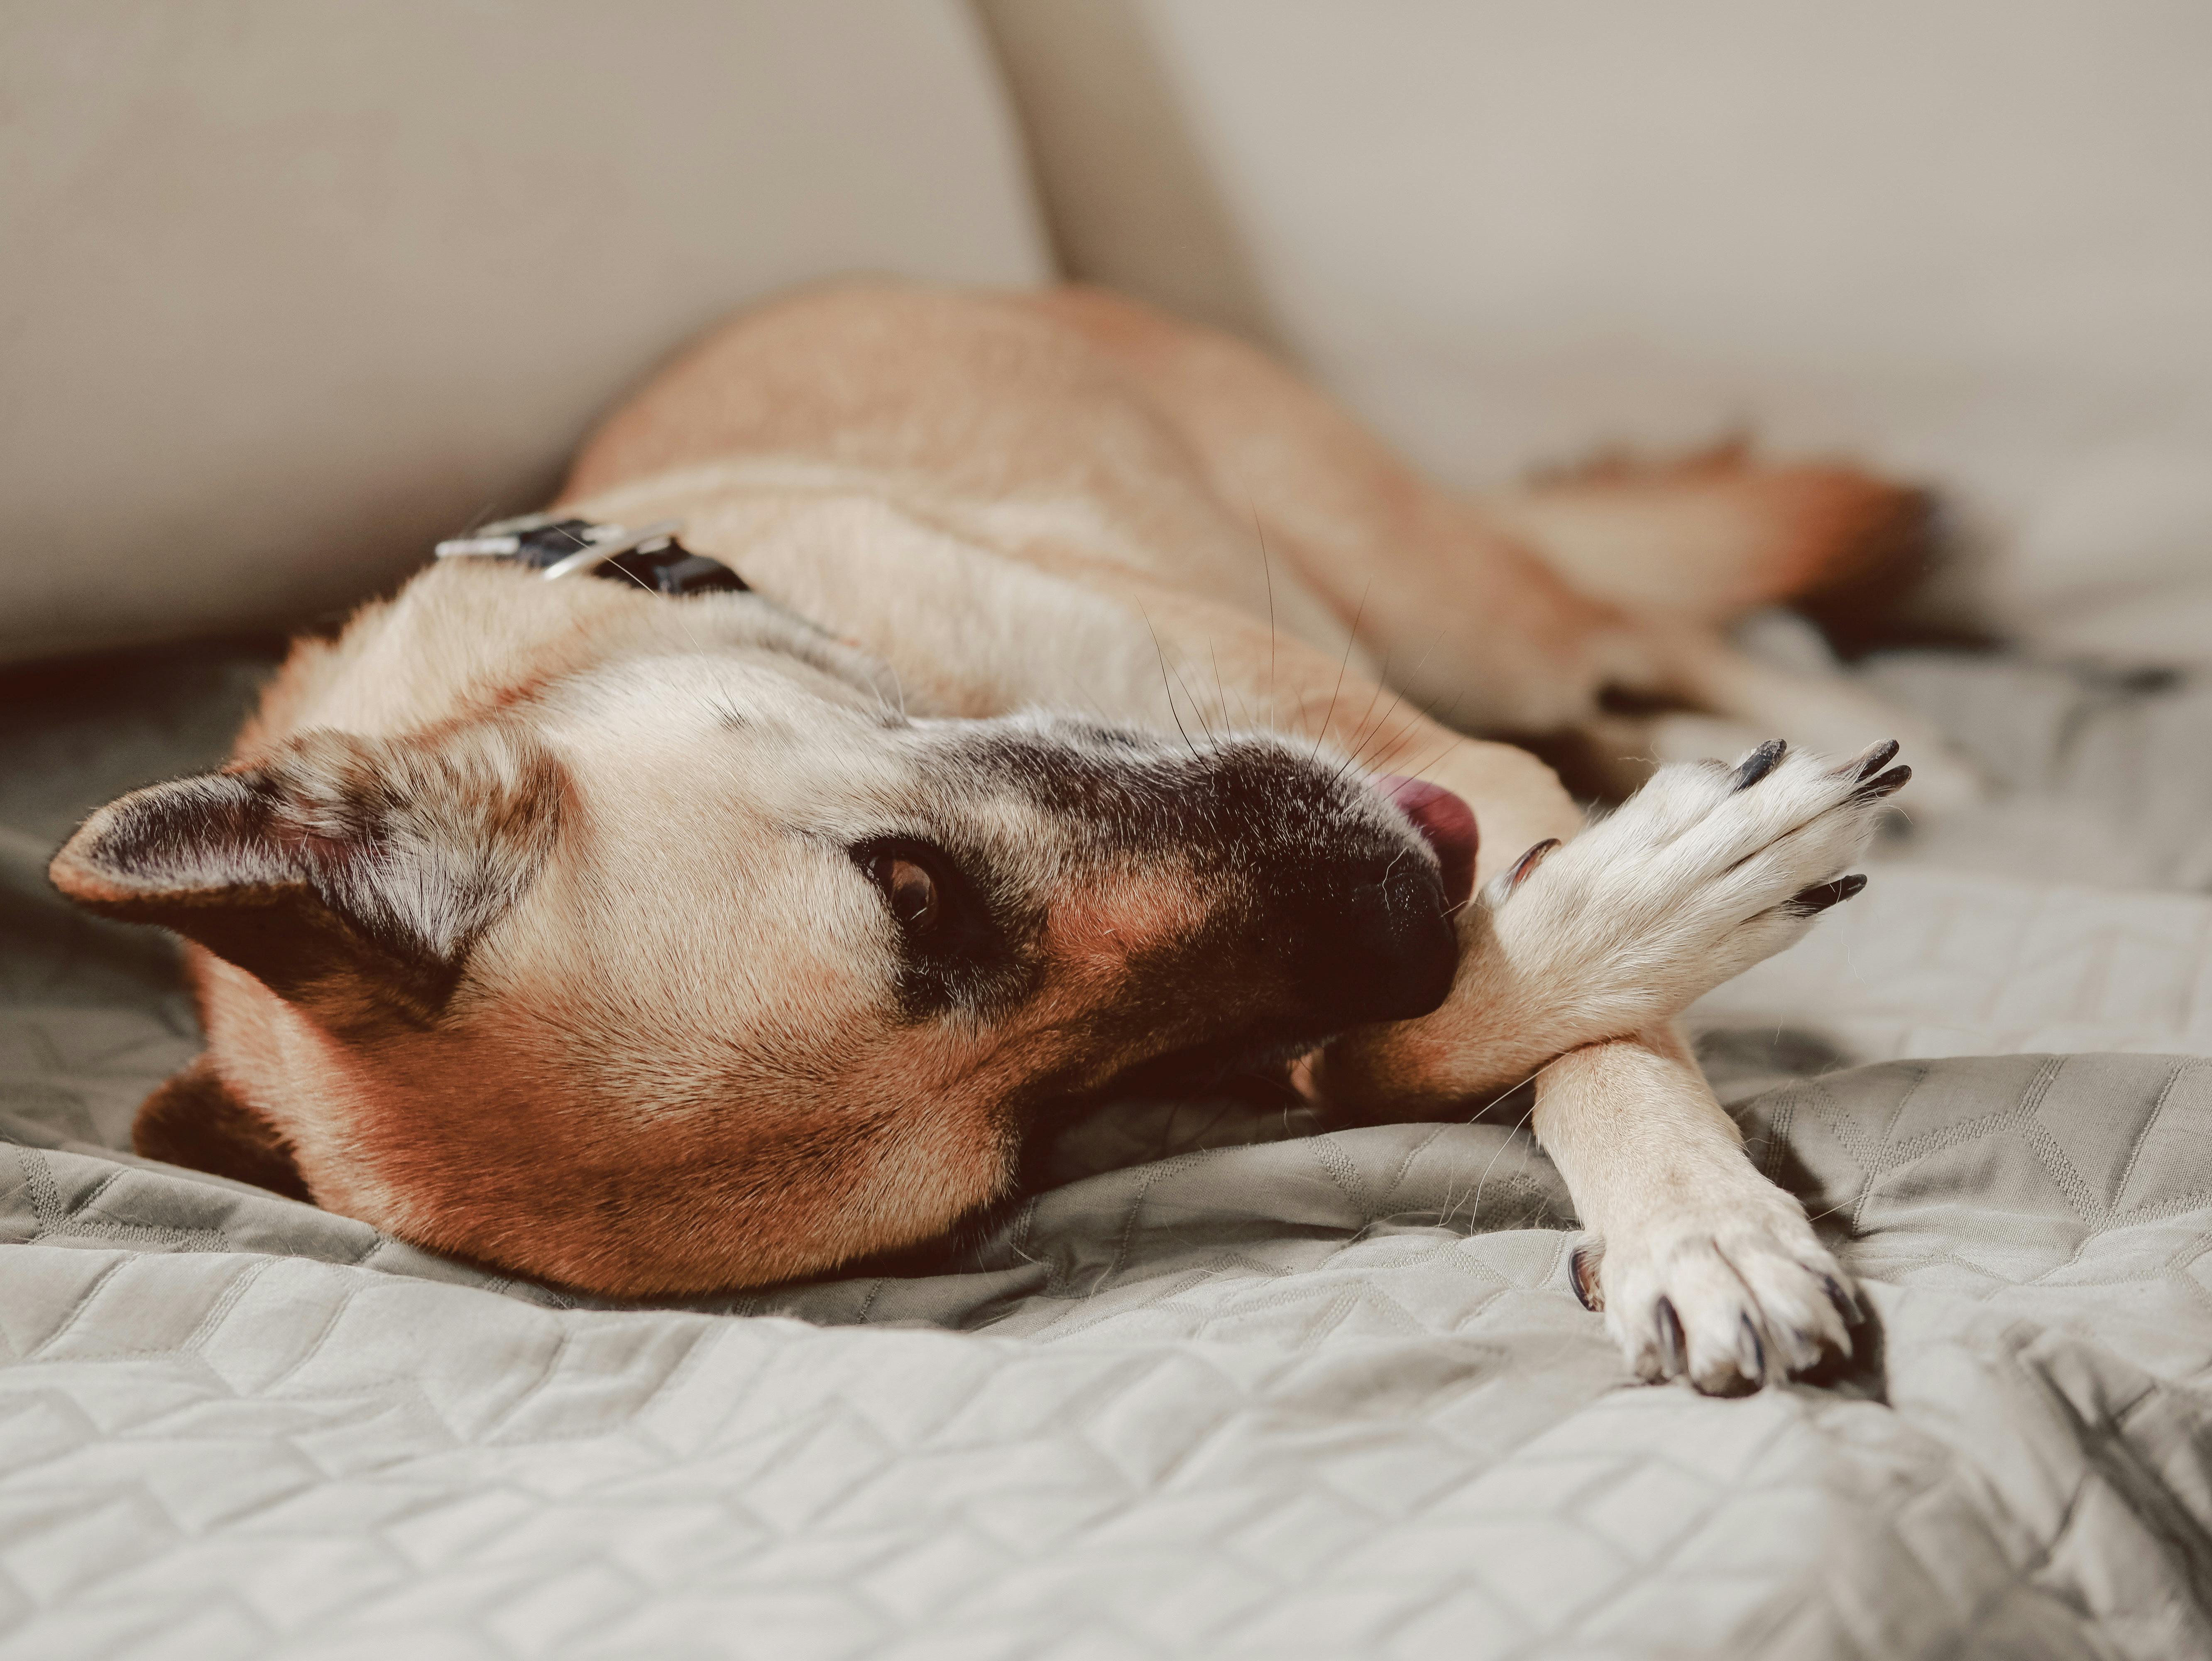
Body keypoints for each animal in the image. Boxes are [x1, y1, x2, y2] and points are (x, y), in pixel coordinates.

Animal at [52, 283, 1946, 1389]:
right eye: (1027, 1146)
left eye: (913, 888)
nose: (1412, 911)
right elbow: (1397, 1050)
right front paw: (1597, 954)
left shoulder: (1452, 751)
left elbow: (1582, 1043)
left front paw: (1694, 1213)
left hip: (1457, 612)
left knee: (1650, 625)